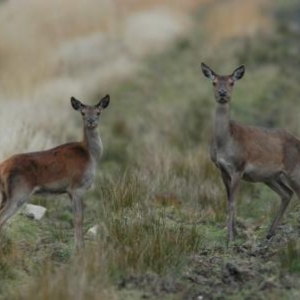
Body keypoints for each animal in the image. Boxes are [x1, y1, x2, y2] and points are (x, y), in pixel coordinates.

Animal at [0, 95, 110, 250]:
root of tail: (2, 166)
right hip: (19, 192)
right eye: (83, 113)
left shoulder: (70, 191)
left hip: (5, 194)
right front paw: (80, 248)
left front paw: (77, 245)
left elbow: (76, 217)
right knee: (2, 218)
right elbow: (79, 218)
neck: (90, 156)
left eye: (98, 112)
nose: (90, 121)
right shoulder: (77, 187)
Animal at [200, 63, 300, 244]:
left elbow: (233, 202)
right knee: (287, 194)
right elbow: (228, 200)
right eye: (214, 82)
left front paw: (230, 237)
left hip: (293, 169)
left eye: (232, 82)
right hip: (271, 177)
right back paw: (270, 232)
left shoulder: (238, 167)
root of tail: (299, 141)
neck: (225, 143)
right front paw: (235, 233)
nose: (222, 93)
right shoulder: (221, 169)